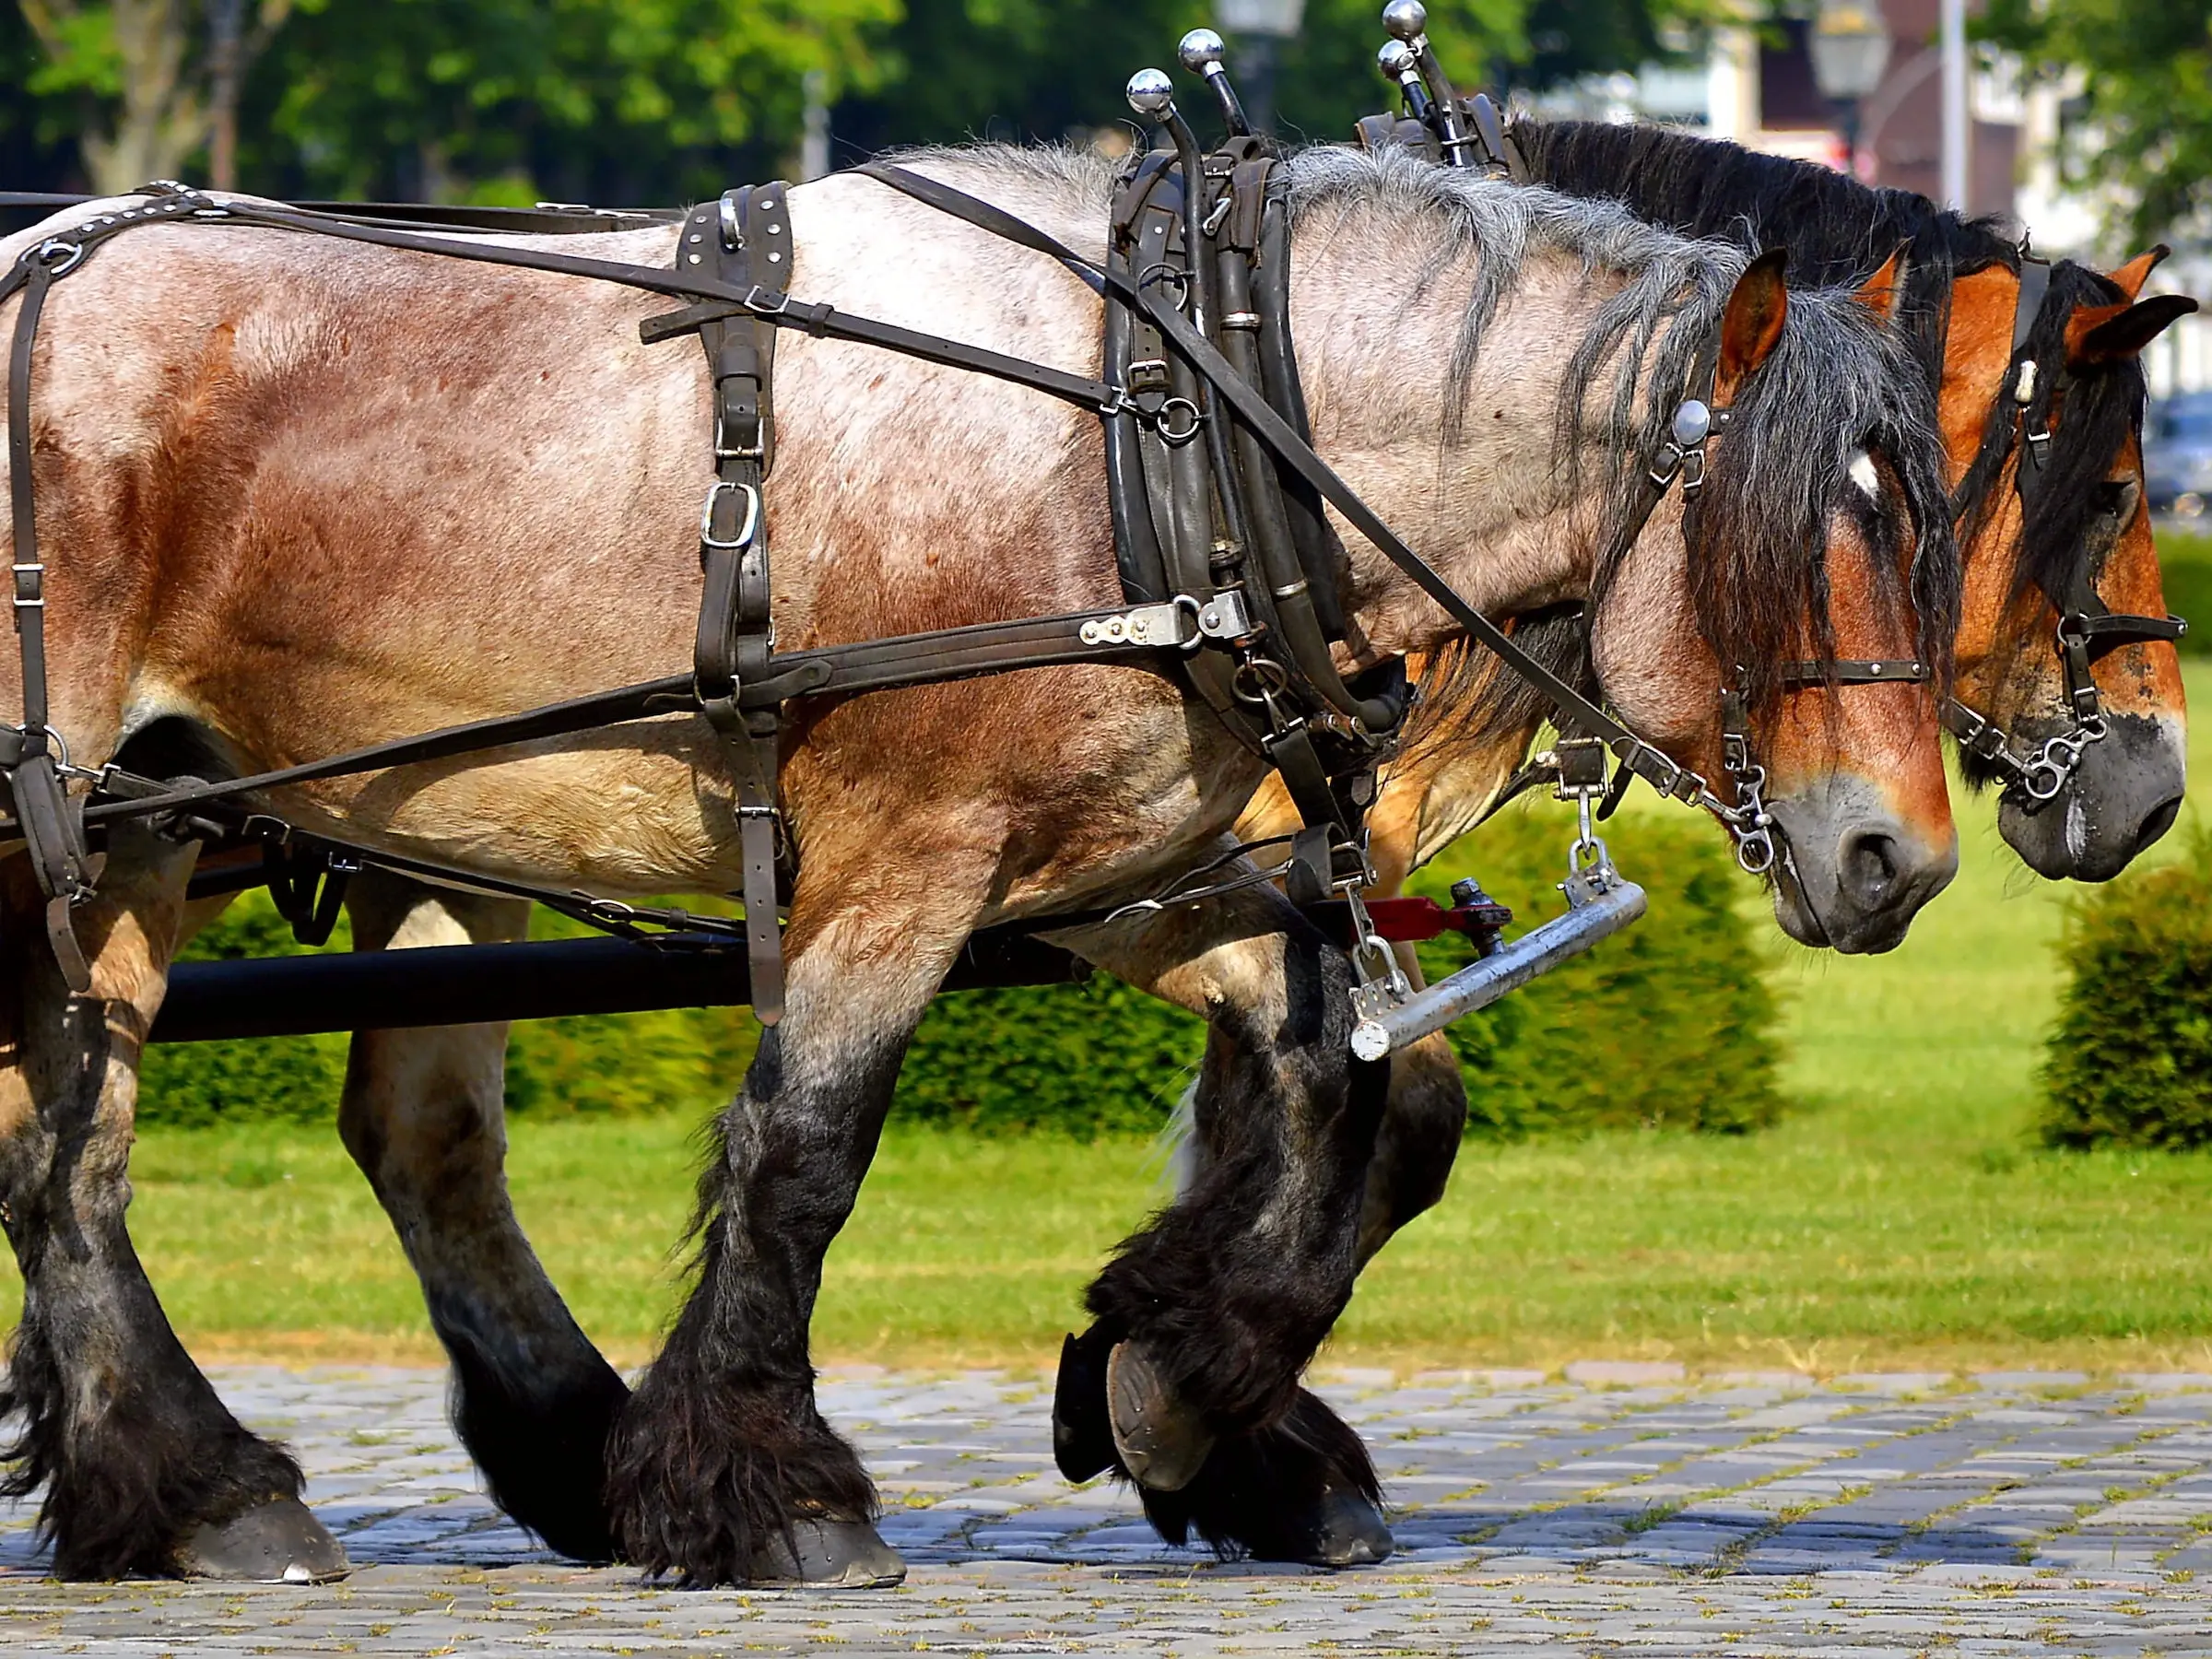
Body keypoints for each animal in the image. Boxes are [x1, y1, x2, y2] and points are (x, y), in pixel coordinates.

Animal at [0, 142, 1958, 1586]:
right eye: (1776, 546)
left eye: (1931, 537)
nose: (1904, 859)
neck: (1154, 426)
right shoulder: (912, 861)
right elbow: (802, 1154)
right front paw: (772, 1490)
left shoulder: (1125, 876)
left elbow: (1347, 1093)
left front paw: (1179, 1386)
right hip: (80, 830)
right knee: (87, 1158)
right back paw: (216, 1484)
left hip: (148, 832)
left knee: (121, 1158)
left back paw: (215, 1485)